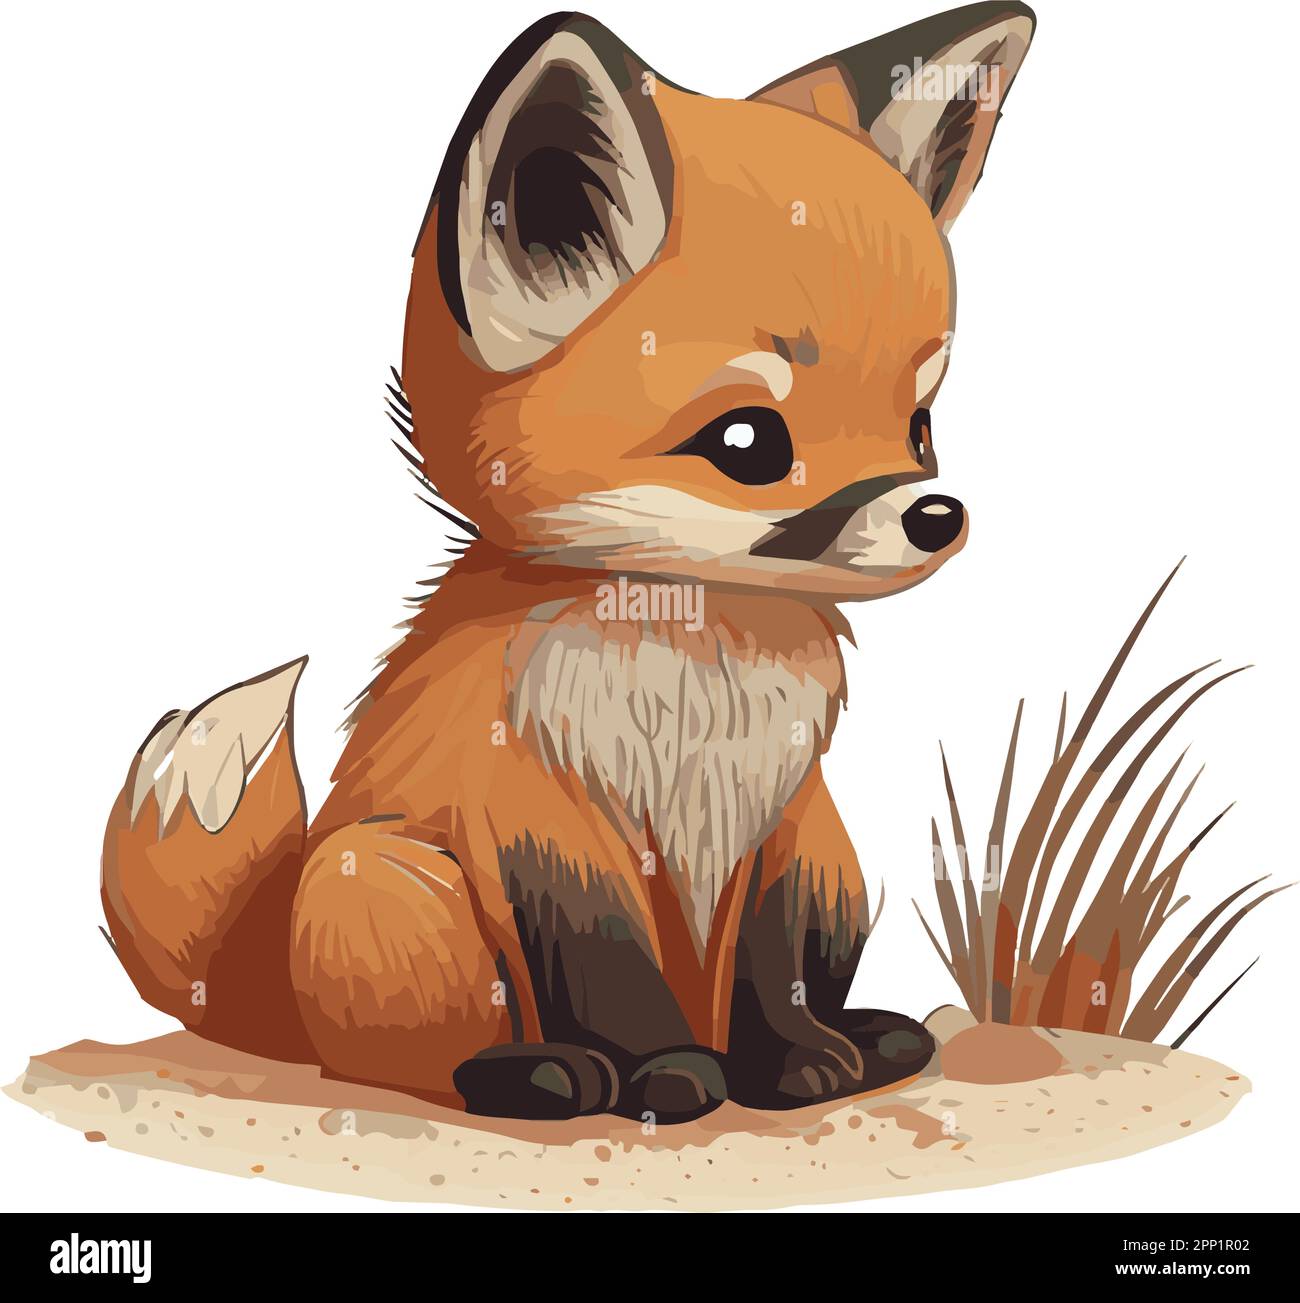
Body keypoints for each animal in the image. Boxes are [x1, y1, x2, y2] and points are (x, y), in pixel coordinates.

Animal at [101, 4, 1036, 1124]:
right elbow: (607, 970)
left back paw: (870, 1036)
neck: (691, 667)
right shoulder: (540, 823)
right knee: (414, 1063)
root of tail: (273, 994)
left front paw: (794, 1063)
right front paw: (667, 1075)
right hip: (387, 878)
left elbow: (774, 973)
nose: (934, 513)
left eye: (920, 427)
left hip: (834, 860)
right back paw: (538, 1073)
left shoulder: (777, 816)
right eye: (747, 443)